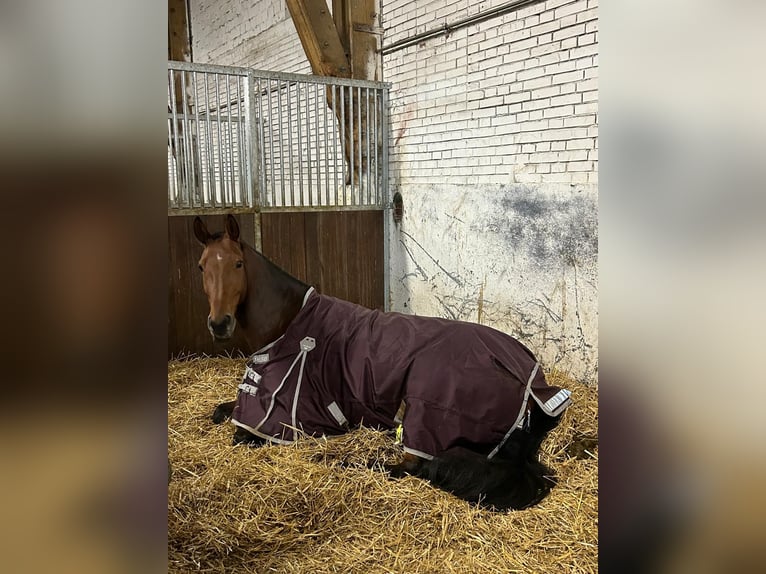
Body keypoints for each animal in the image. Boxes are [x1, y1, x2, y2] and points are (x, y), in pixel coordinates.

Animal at [195, 216, 572, 512]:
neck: (290, 325)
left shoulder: (288, 416)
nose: (219, 324)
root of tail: (531, 381)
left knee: (410, 467)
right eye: (201, 266)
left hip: (425, 411)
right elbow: (220, 411)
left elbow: (241, 434)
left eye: (237, 264)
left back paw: (340, 461)